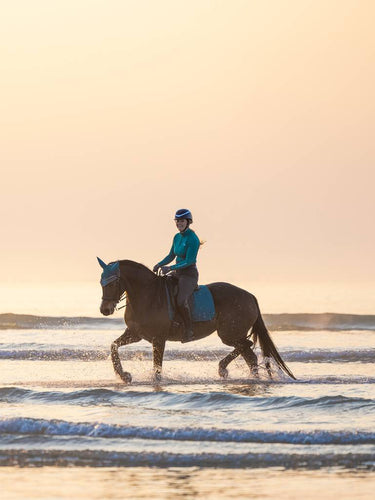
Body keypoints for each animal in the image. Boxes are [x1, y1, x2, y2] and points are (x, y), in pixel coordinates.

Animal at [97, 258, 296, 382]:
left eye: (113, 283)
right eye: (101, 282)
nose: (105, 309)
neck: (147, 295)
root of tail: (250, 296)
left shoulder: (158, 339)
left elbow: (157, 365)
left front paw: (153, 380)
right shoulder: (135, 334)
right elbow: (114, 347)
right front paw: (124, 375)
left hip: (229, 334)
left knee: (246, 347)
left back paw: (224, 369)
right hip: (233, 335)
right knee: (250, 355)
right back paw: (249, 377)